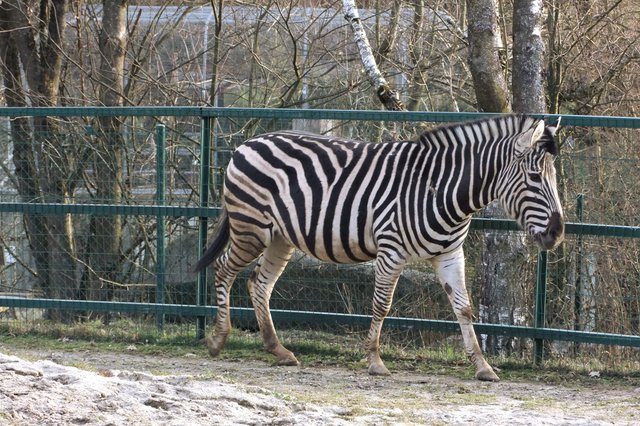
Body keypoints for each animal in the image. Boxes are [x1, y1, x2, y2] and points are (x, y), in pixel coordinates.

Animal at [192, 114, 564, 382]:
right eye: (534, 177)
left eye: (554, 177)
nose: (557, 233)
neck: (439, 190)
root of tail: (248, 142)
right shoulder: (391, 252)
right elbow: (381, 306)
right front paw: (374, 361)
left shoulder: (450, 255)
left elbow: (465, 309)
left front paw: (483, 367)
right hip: (250, 228)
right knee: (224, 270)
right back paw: (218, 339)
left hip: (280, 237)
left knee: (260, 283)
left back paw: (278, 350)